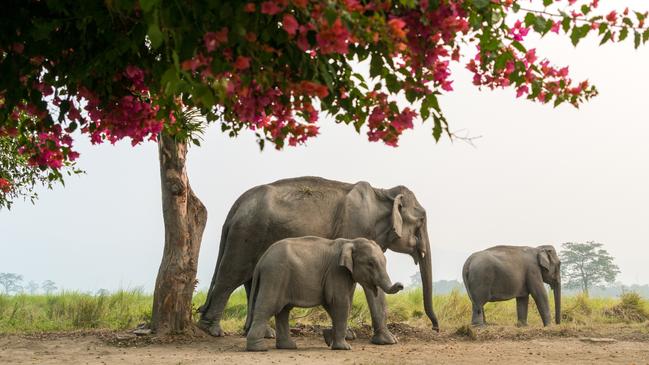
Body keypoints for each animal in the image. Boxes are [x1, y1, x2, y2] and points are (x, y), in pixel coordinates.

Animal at [246, 235, 402, 352]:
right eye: (370, 264)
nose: (401, 285)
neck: (351, 241)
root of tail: (261, 260)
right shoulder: (337, 272)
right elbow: (340, 303)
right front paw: (344, 347)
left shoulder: (346, 276)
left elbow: (342, 304)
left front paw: (328, 338)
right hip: (275, 275)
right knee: (268, 307)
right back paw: (258, 349)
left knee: (283, 311)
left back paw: (288, 347)